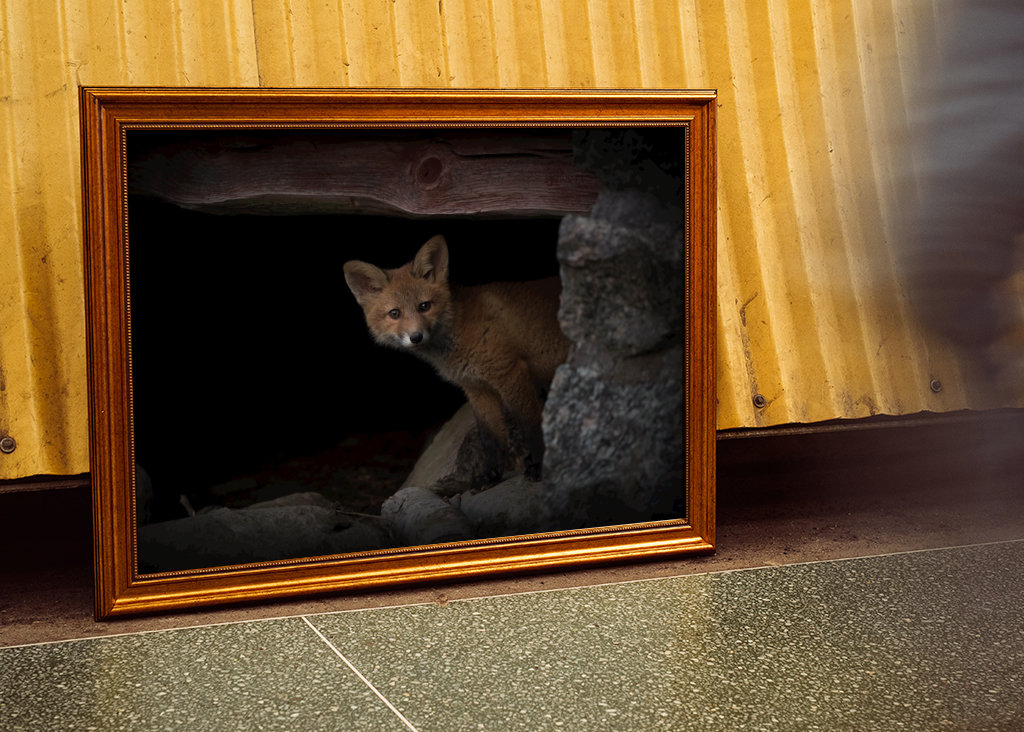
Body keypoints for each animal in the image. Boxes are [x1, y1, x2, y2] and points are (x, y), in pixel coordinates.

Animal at [343, 234, 569, 484]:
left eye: (424, 306)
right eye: (395, 313)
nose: (416, 336)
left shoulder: (510, 374)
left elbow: (531, 426)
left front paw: (539, 466)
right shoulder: (476, 388)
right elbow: (490, 437)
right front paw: (489, 475)